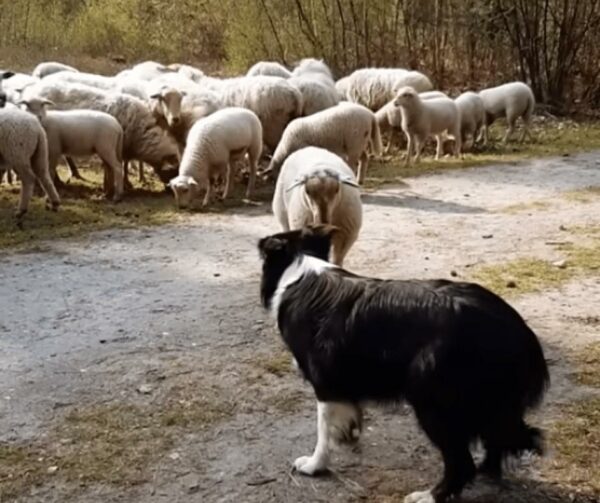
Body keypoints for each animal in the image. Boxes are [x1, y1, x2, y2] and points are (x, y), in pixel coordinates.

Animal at [258, 226, 548, 503]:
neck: (300, 270)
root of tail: (518, 331)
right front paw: (348, 435)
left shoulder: (325, 384)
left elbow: (323, 431)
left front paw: (314, 465)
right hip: (486, 404)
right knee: (496, 441)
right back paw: (486, 472)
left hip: (433, 401)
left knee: (461, 462)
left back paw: (429, 496)